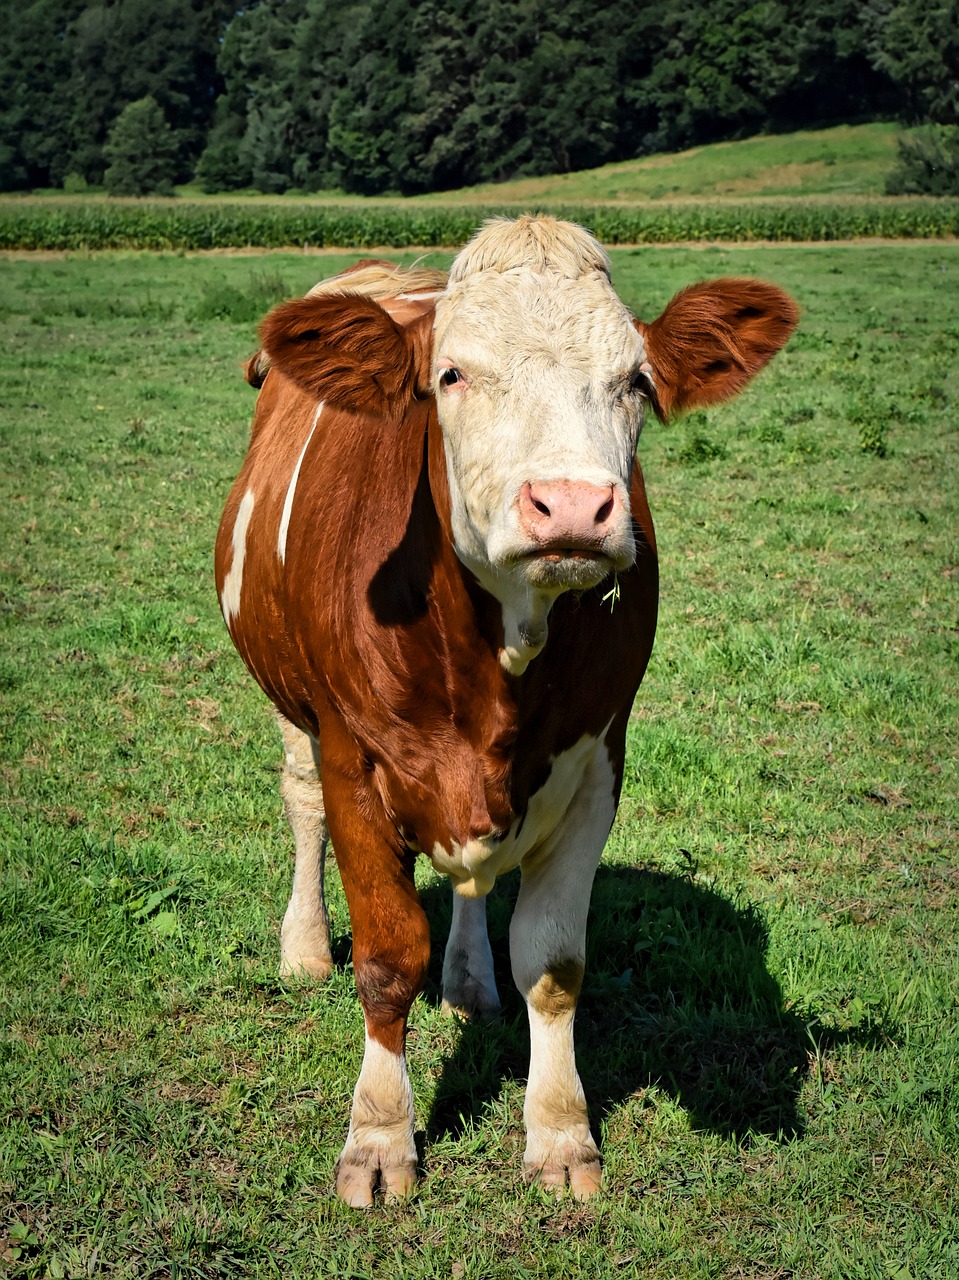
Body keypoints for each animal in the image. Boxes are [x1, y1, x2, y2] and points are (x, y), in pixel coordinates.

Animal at [213, 215, 798, 1203]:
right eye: (451, 374)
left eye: (635, 381)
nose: (571, 505)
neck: (501, 645)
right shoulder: (351, 756)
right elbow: (386, 957)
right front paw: (379, 1138)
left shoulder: (597, 762)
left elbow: (553, 962)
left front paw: (560, 1133)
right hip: (288, 701)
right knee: (298, 804)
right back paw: (303, 948)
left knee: (473, 882)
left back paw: (469, 982)